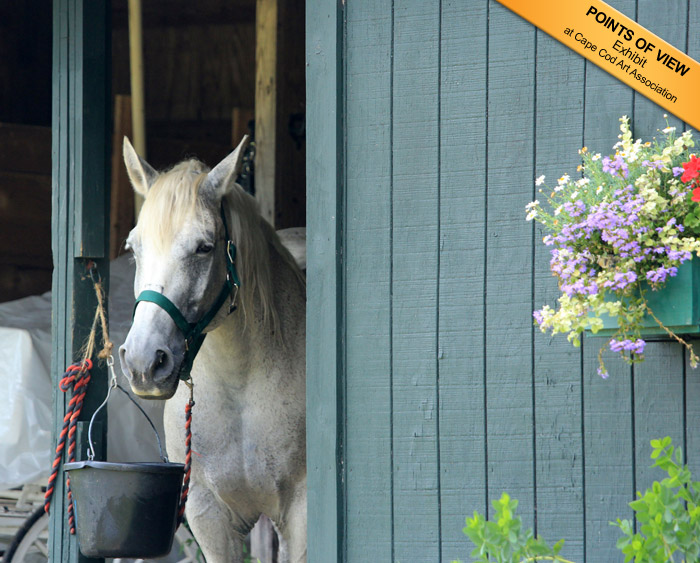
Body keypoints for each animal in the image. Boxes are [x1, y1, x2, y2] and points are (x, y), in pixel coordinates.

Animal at [119, 137, 307, 563]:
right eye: (133, 248)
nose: (143, 362)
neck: (239, 382)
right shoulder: (208, 514)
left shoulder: (300, 513)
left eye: (204, 247)